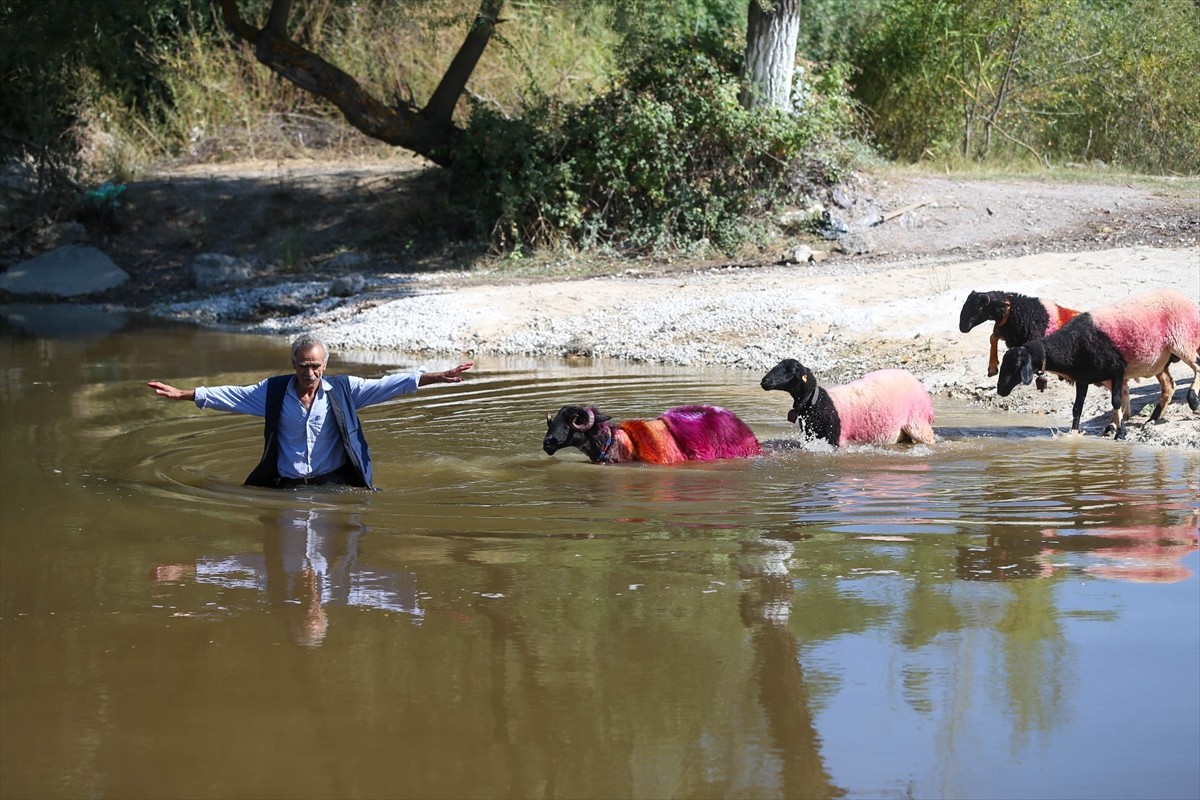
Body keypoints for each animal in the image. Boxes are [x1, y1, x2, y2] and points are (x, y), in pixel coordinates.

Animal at [758, 359, 936, 448]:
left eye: (793, 371)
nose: (764, 381)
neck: (817, 403)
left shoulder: (836, 438)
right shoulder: (811, 437)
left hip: (918, 421)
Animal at [993, 286, 1200, 438]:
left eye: (1016, 366)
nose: (1000, 390)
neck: (1072, 343)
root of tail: (1183, 298)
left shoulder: (1117, 370)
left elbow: (1117, 401)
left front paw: (1120, 433)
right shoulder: (1083, 378)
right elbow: (1078, 408)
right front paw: (1074, 434)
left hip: (1183, 341)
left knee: (1197, 367)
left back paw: (1192, 400)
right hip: (1160, 359)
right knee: (1169, 386)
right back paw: (1153, 419)